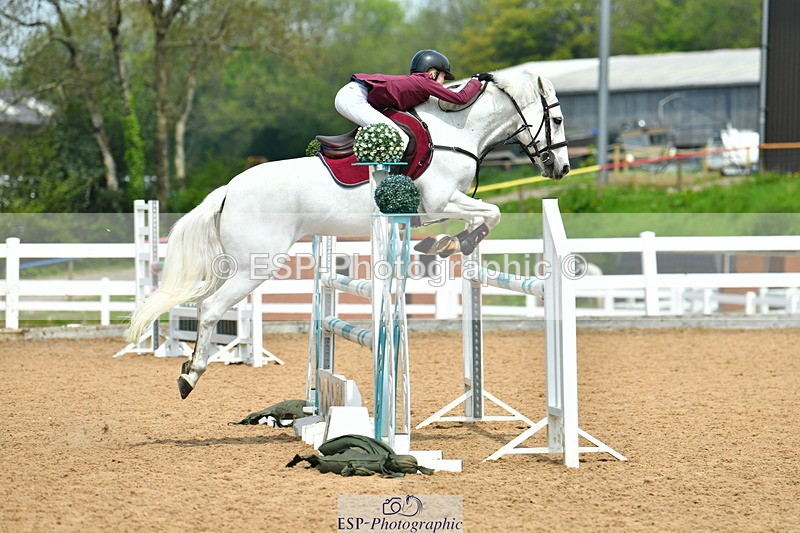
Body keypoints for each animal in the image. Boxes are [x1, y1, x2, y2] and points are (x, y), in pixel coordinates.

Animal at [126, 71, 570, 399]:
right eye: (558, 120)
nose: (561, 169)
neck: (457, 132)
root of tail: (228, 189)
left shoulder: (441, 206)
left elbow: (479, 217)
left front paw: (443, 244)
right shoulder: (438, 201)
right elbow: (491, 212)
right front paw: (456, 243)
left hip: (235, 265)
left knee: (204, 305)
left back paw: (188, 366)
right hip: (255, 267)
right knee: (211, 307)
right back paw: (191, 375)